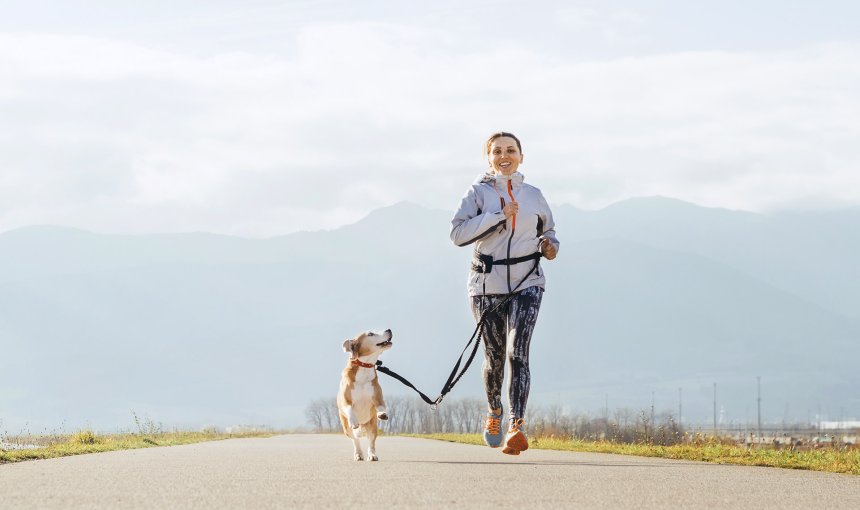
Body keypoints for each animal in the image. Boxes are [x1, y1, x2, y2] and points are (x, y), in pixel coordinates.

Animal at [336, 328, 394, 460]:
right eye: (370, 334)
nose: (388, 329)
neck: (364, 367)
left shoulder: (378, 397)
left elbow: (381, 406)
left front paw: (382, 414)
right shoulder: (345, 401)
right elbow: (349, 408)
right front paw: (354, 420)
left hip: (372, 426)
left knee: (371, 442)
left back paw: (372, 455)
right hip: (346, 429)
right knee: (355, 440)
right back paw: (358, 454)